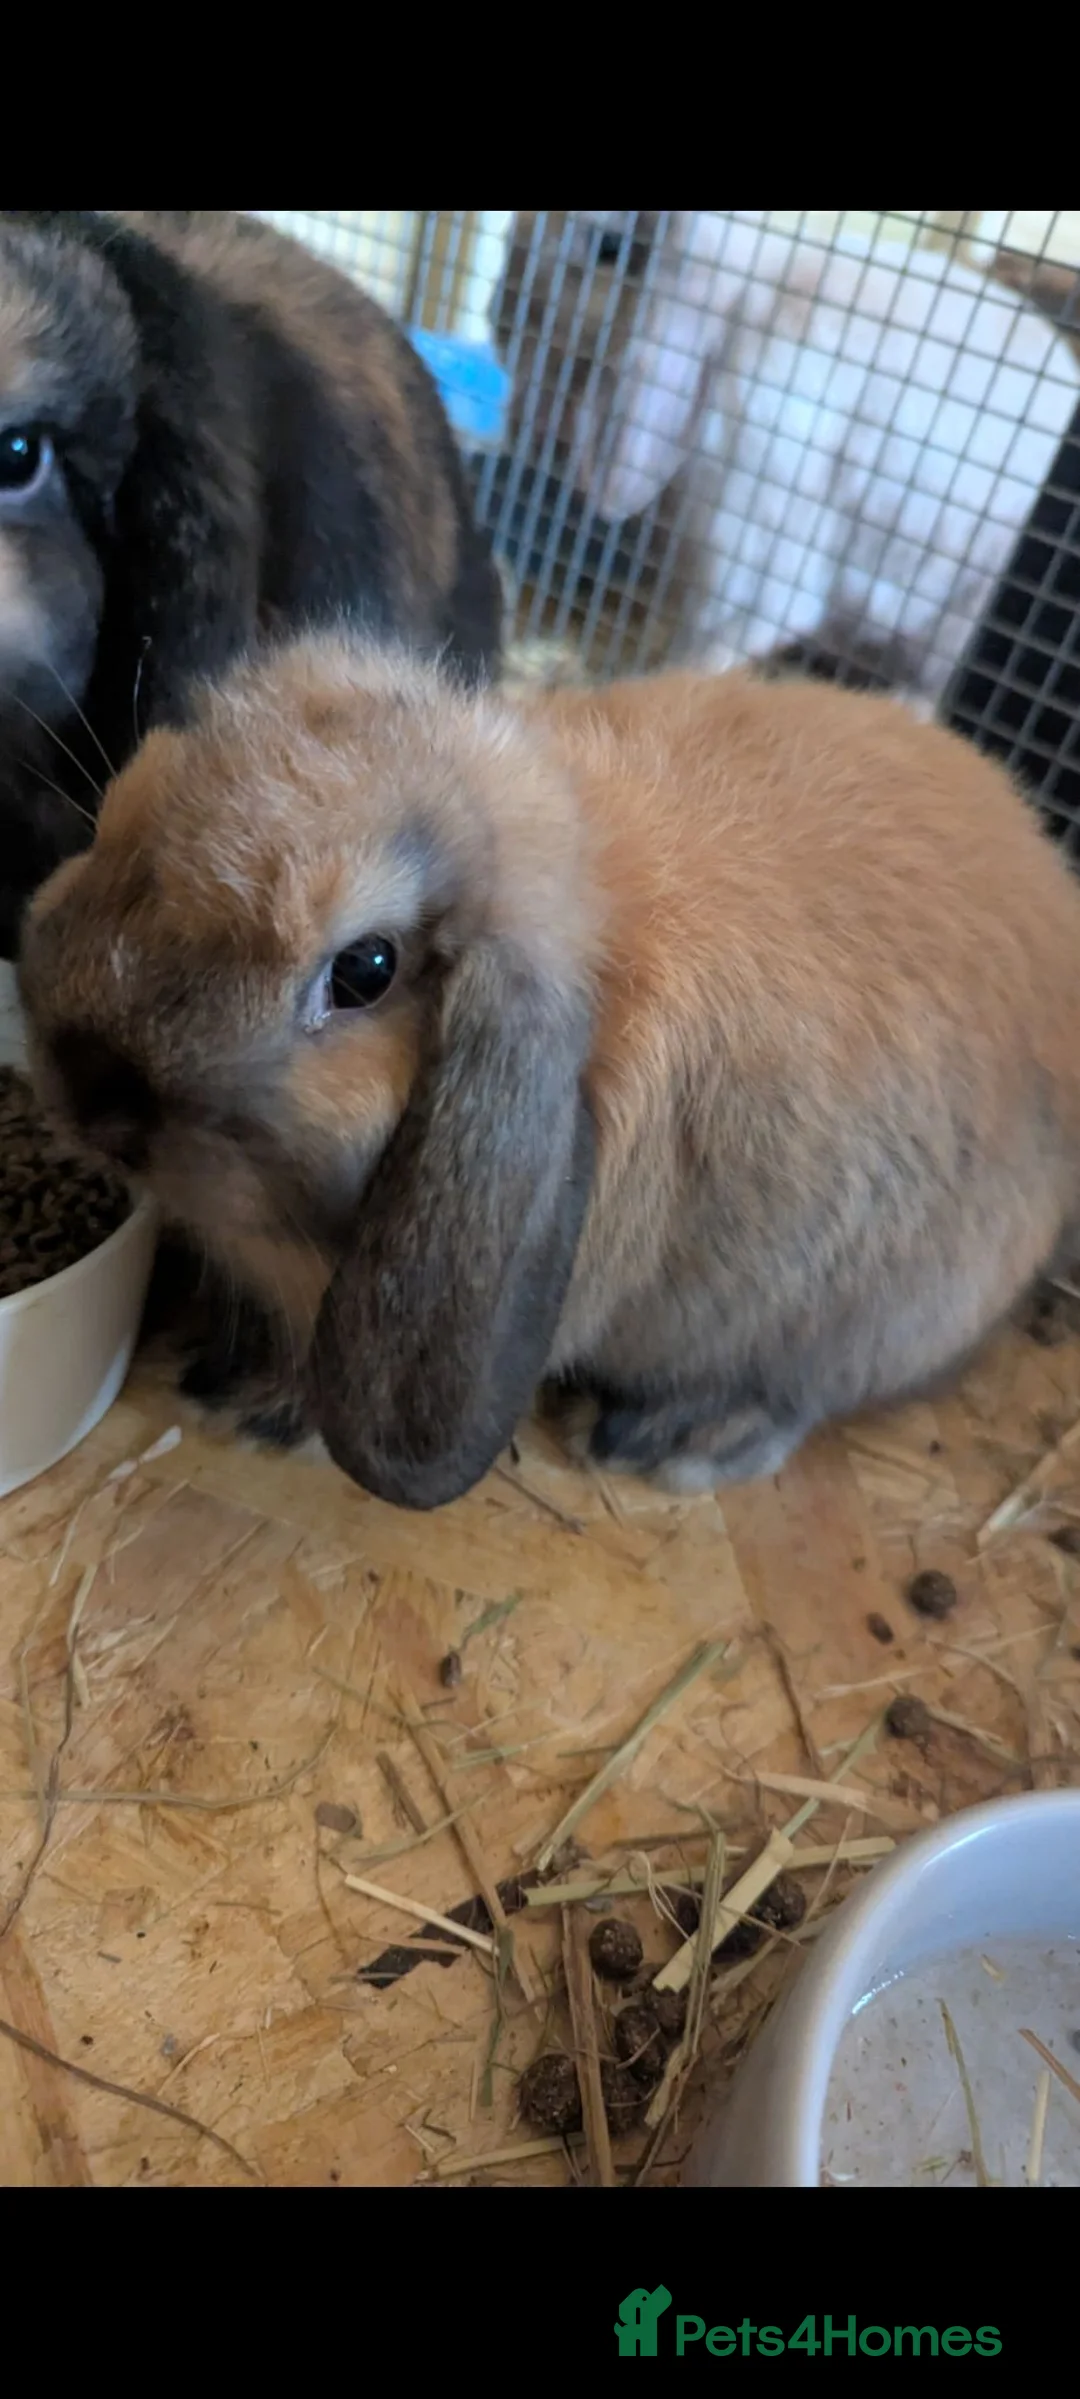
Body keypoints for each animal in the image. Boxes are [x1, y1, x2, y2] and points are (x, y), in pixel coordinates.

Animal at [20, 632, 1080, 1512]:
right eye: (119, 808)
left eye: (364, 969)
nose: (85, 1088)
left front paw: (252, 1405)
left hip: (869, 1318)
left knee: (800, 1396)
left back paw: (676, 1438)